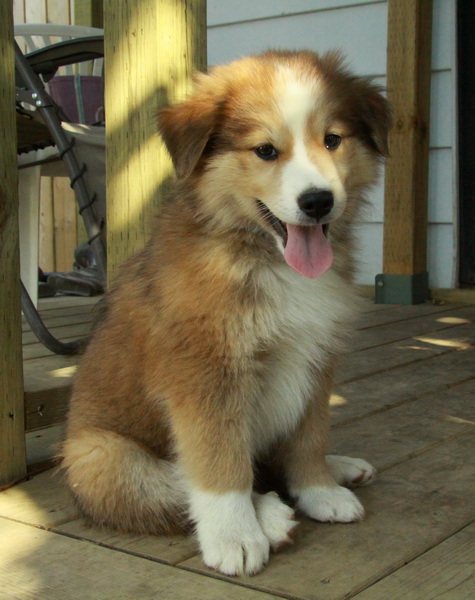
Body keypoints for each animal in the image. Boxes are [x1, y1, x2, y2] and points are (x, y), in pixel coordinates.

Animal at [61, 49, 392, 576]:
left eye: (332, 140)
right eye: (265, 151)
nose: (318, 202)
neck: (262, 258)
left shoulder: (317, 358)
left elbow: (310, 434)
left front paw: (319, 489)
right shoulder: (205, 375)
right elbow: (219, 463)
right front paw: (235, 536)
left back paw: (337, 469)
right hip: (98, 458)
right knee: (172, 481)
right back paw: (269, 516)